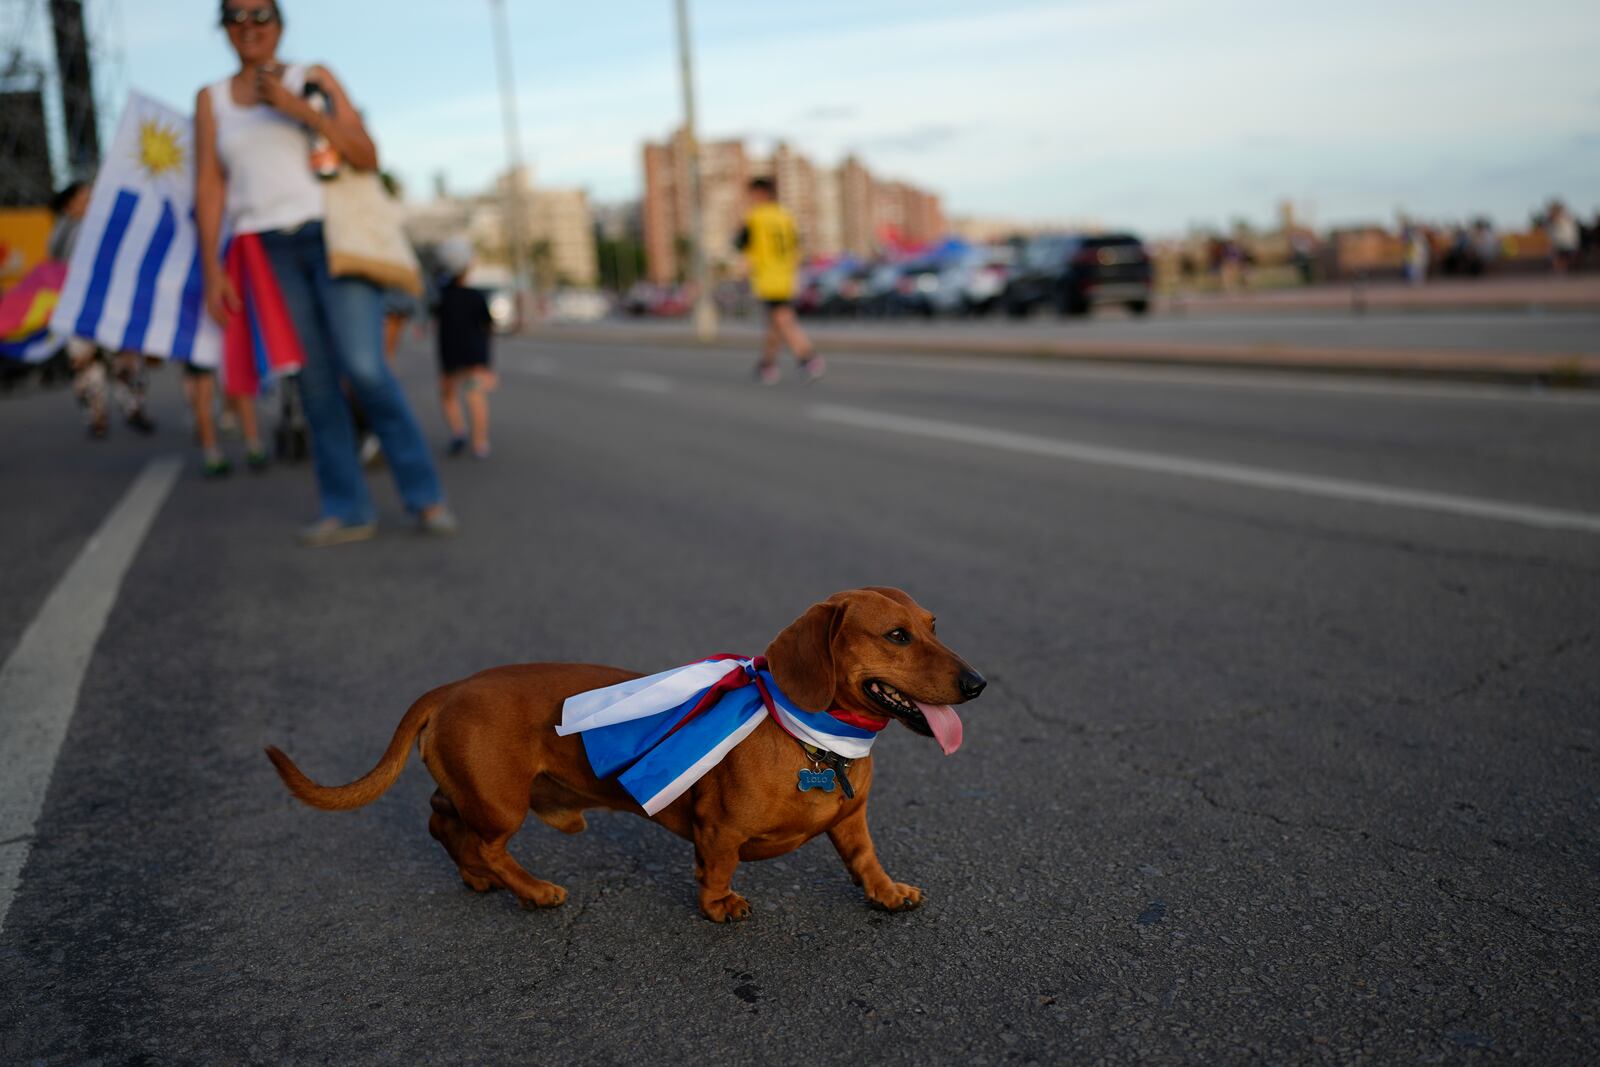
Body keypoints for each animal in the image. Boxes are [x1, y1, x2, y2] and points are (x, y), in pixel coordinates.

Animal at [268, 588, 979, 921]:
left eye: (935, 626)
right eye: (896, 635)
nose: (977, 684)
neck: (809, 734)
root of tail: (447, 689)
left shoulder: (852, 822)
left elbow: (865, 860)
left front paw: (886, 893)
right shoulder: (719, 830)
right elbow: (718, 869)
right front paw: (720, 905)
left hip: (474, 791)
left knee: (444, 822)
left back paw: (475, 877)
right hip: (502, 802)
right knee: (488, 844)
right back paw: (531, 889)